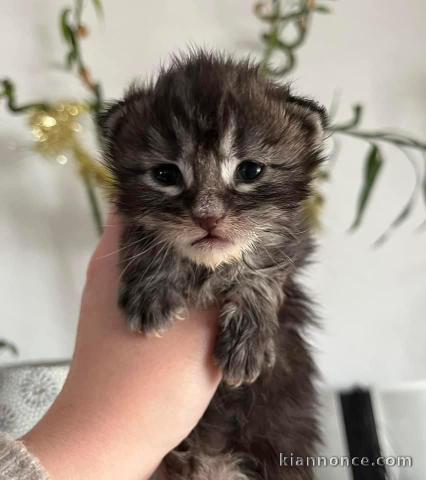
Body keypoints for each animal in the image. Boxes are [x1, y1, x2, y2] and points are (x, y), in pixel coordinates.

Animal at [100, 52, 326, 480]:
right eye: (165, 175)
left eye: (250, 171)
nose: (207, 218)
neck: (210, 268)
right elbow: (147, 234)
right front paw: (151, 291)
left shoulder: (295, 239)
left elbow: (265, 269)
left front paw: (248, 339)